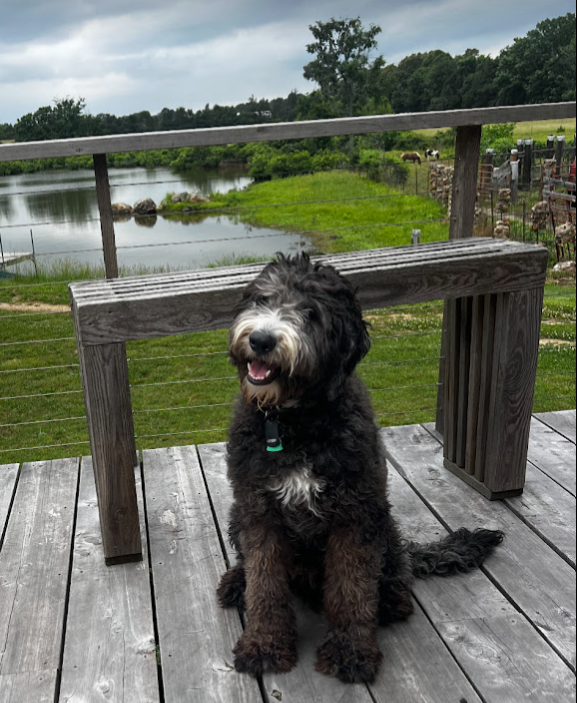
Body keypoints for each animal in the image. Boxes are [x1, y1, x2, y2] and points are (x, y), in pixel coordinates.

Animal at [218, 256, 502, 684]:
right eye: (261, 299)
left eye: (311, 313)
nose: (262, 340)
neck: (295, 423)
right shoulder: (259, 510)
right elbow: (264, 583)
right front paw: (264, 645)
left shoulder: (355, 515)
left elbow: (351, 587)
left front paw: (350, 652)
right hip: (238, 514)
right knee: (251, 565)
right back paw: (237, 581)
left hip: (383, 525)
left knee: (394, 575)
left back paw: (391, 600)